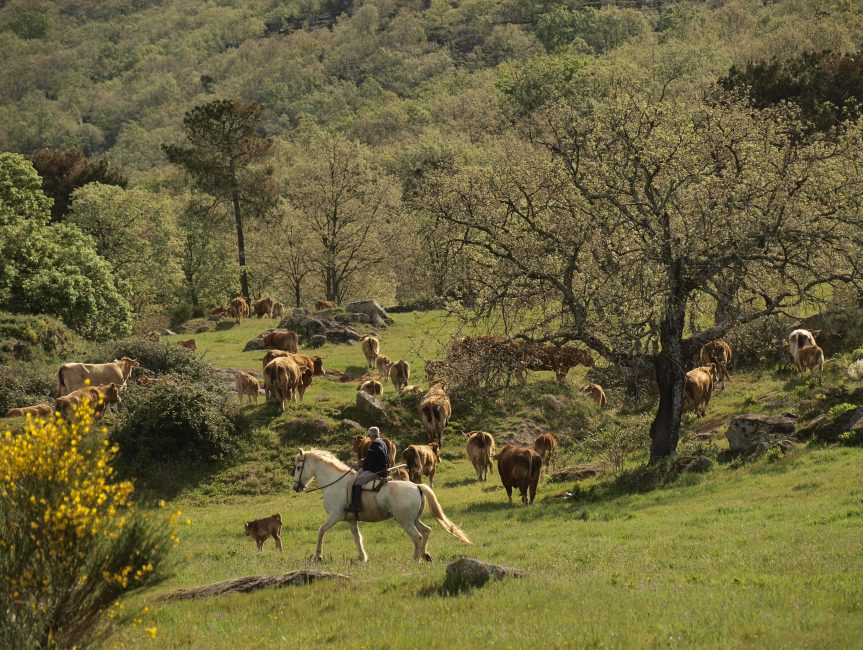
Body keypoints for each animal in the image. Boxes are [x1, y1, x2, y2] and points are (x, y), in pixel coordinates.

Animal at [292, 448, 470, 562]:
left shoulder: (334, 516)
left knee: (417, 537)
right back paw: (425, 555)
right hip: (414, 520)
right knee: (426, 531)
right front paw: (362, 557)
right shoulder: (350, 520)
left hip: (405, 522)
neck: (336, 482)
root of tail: (417, 486)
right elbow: (357, 537)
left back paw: (415, 559)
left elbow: (321, 531)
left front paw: (318, 555)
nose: (295, 487)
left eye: (299, 467)